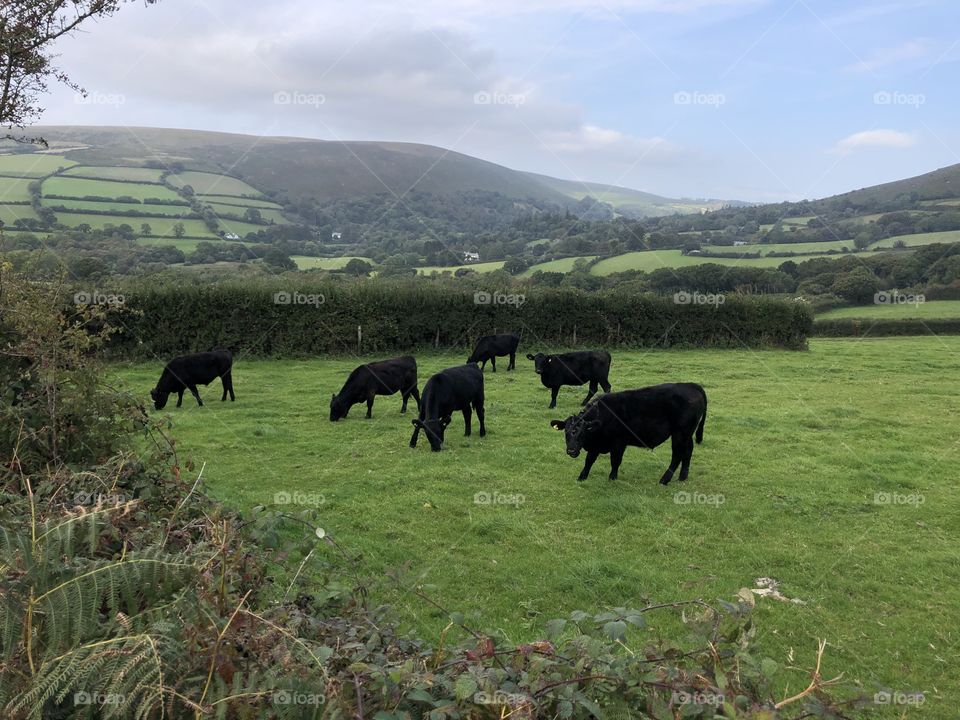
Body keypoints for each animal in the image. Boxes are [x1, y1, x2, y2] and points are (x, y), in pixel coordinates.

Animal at [552, 382, 708, 484]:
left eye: (582, 432)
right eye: (566, 432)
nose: (571, 451)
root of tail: (691, 385)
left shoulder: (619, 444)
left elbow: (615, 461)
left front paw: (612, 478)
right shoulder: (596, 444)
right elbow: (589, 460)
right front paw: (582, 477)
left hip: (679, 434)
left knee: (677, 455)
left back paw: (664, 480)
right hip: (687, 434)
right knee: (688, 451)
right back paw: (682, 477)